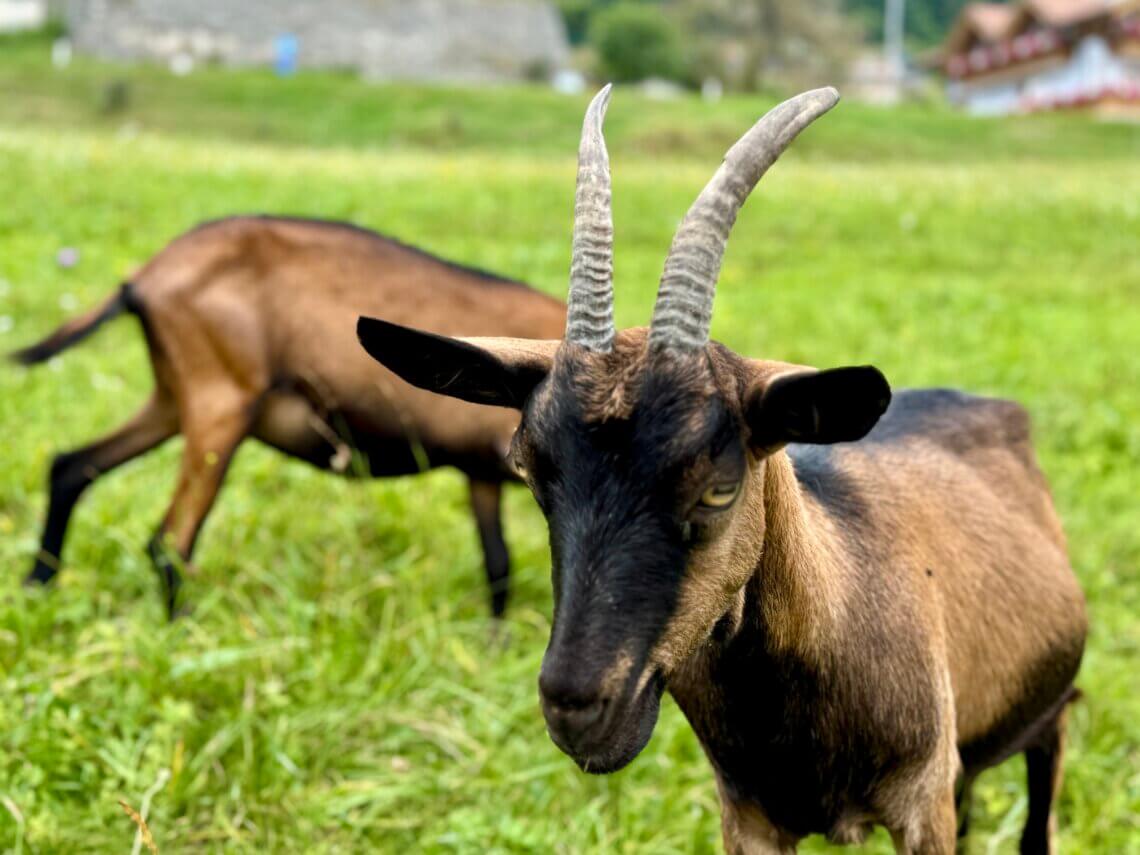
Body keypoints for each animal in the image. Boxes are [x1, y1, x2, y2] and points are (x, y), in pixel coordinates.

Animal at [15, 217, 567, 620]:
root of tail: (143, 278)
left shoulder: (481, 473)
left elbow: (498, 564)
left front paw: (494, 643)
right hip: (220, 405)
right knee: (169, 540)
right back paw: (183, 630)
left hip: (175, 399)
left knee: (72, 465)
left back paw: (37, 587)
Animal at [355, 88, 1085, 855]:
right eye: (531, 473)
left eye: (718, 488)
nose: (576, 708)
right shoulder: (749, 813)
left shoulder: (921, 799)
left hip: (1051, 716)